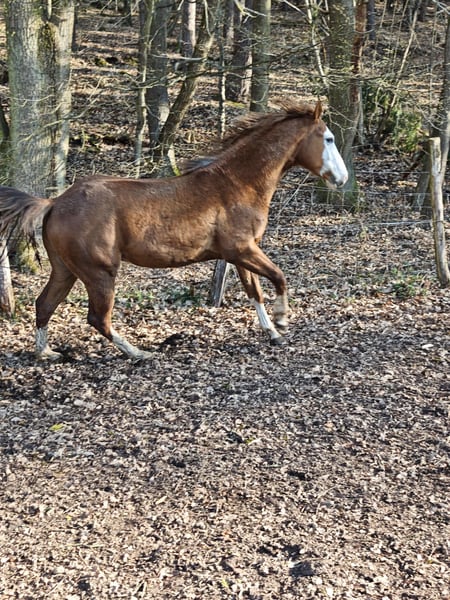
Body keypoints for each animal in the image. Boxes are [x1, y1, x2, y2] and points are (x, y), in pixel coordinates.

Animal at [0, 100, 348, 360]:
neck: (238, 184)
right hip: (99, 273)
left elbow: (255, 291)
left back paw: (47, 353)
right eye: (328, 138)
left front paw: (272, 333)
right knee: (98, 318)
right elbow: (278, 277)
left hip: (66, 270)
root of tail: (55, 202)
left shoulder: (239, 254)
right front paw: (282, 320)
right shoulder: (243, 249)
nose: (342, 179)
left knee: (44, 304)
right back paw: (139, 353)